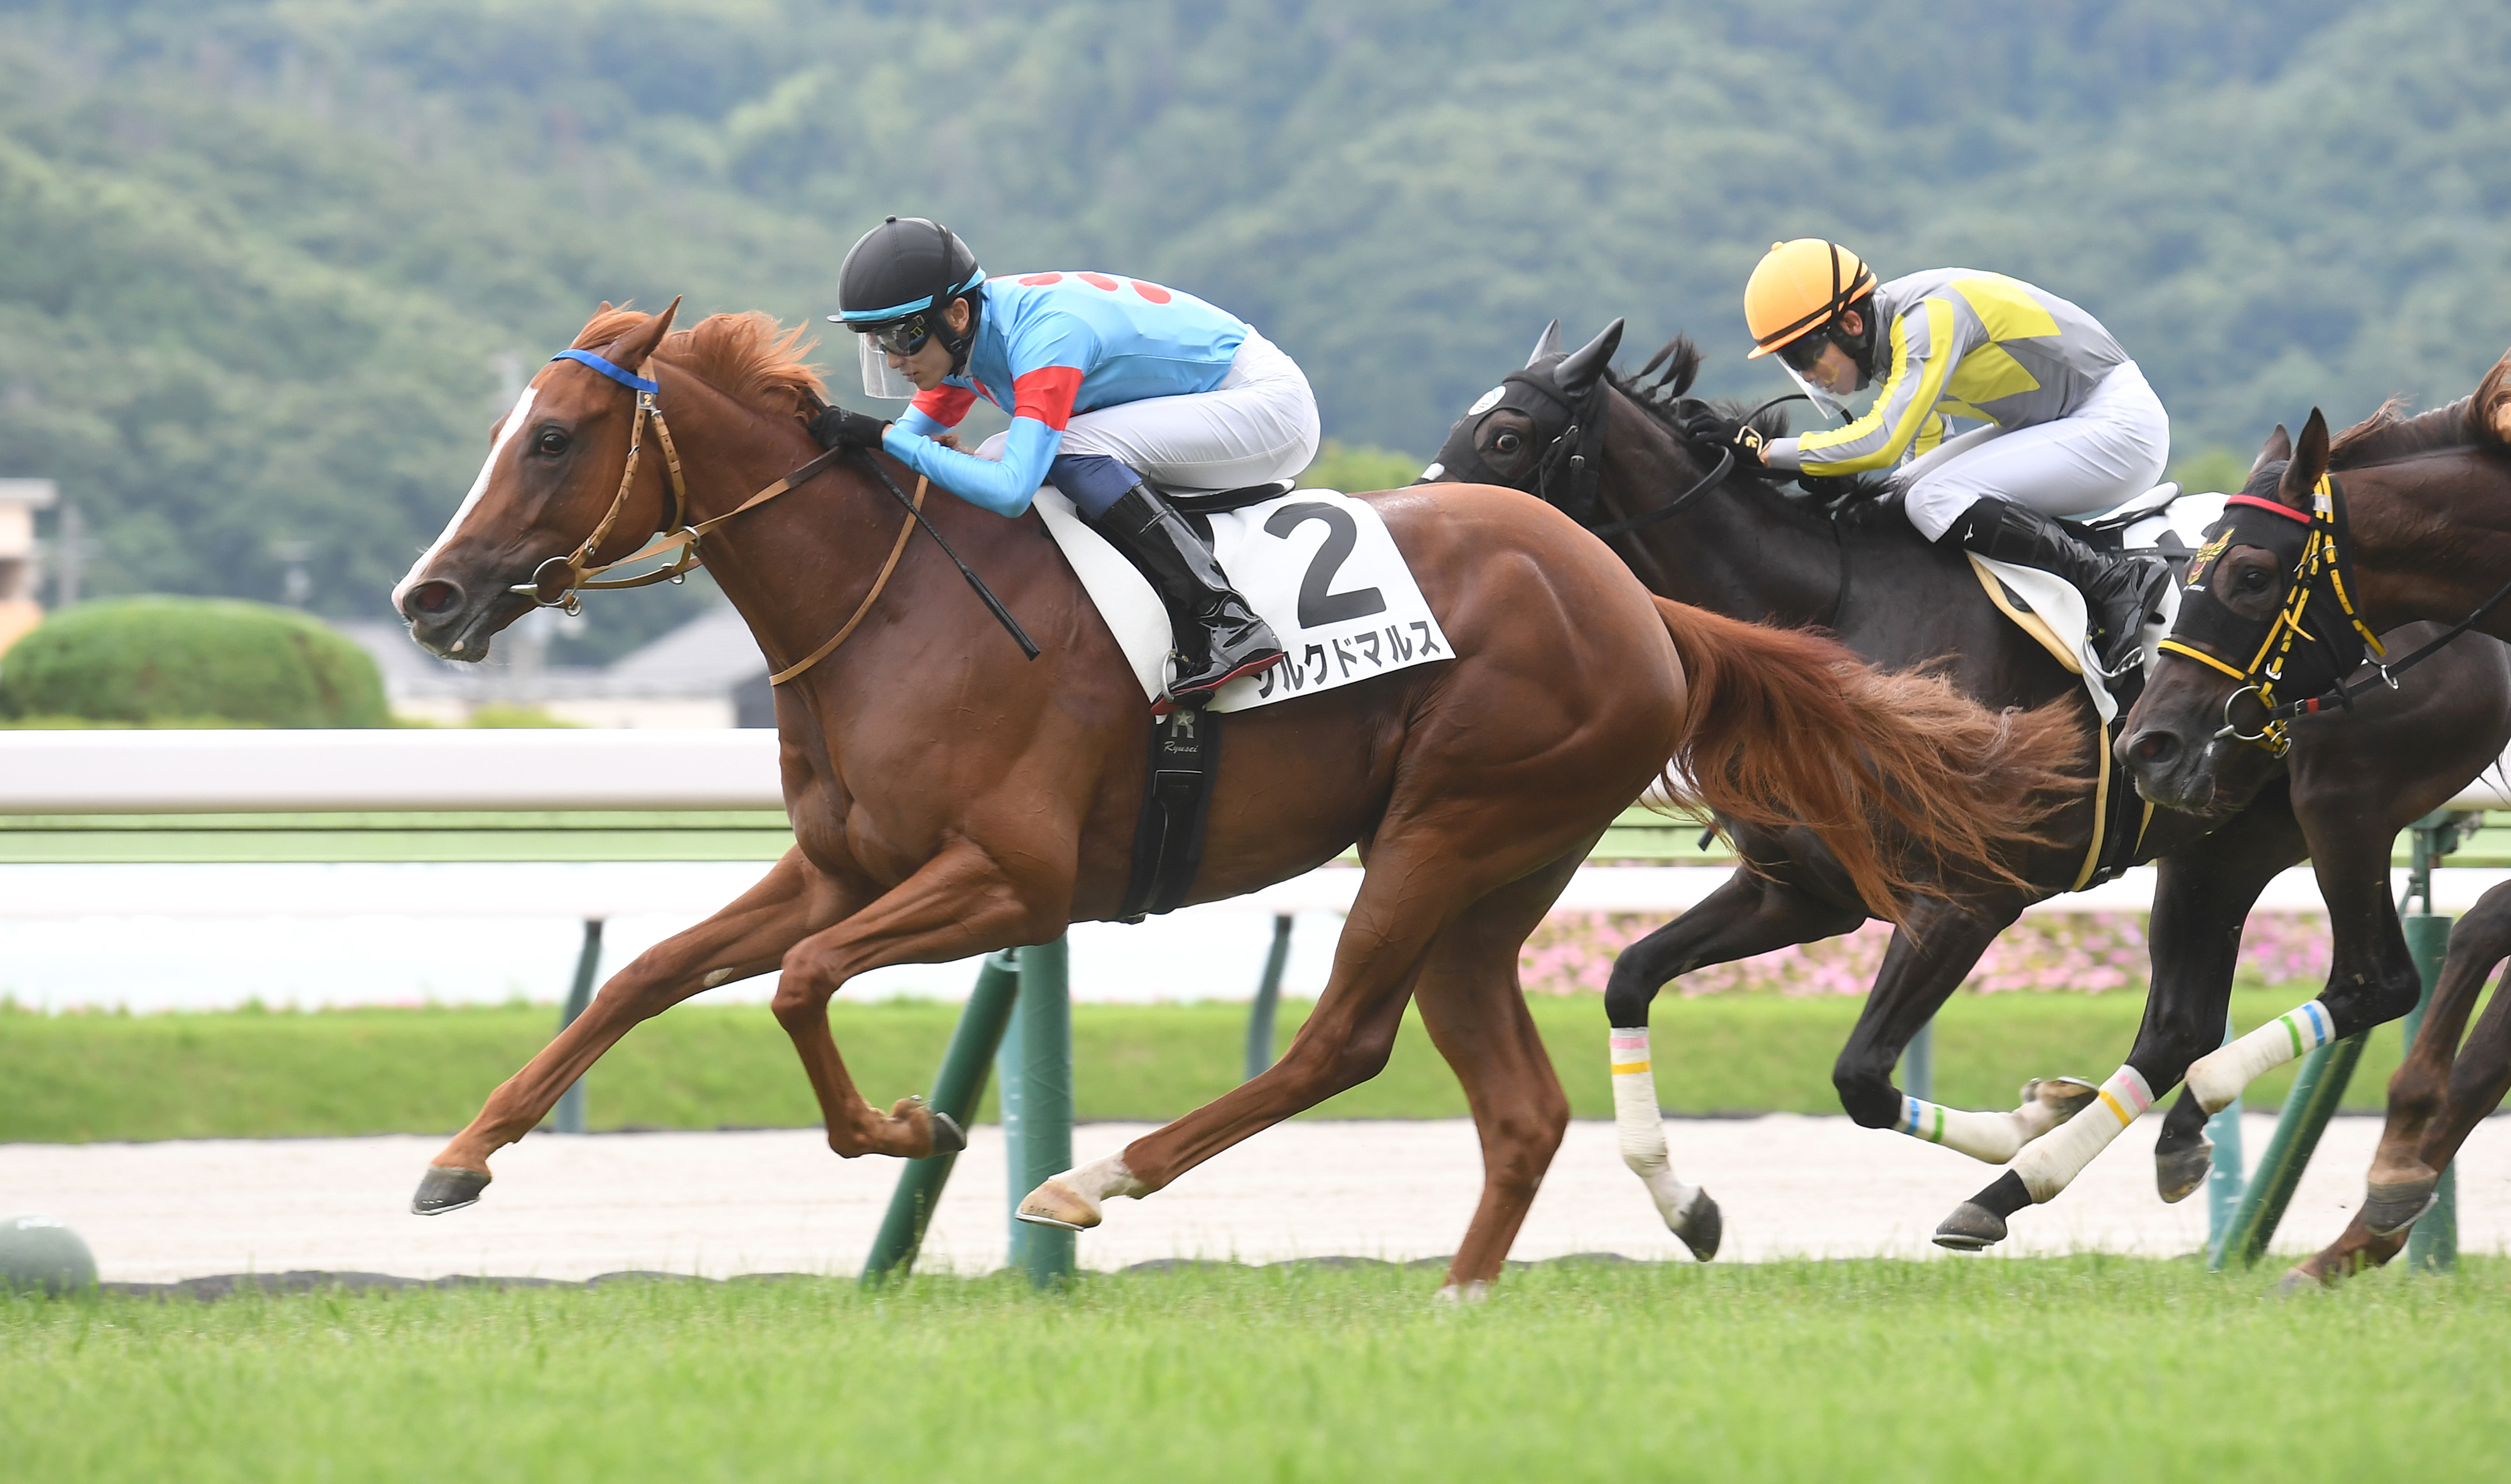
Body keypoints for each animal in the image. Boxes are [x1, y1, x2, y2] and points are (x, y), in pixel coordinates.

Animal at [389, 301, 2081, 1295]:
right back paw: (1464, 1292)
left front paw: (903, 1123)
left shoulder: (1010, 877)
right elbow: (653, 972)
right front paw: (460, 1156)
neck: (892, 606)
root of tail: (1632, 593)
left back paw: (1092, 1178)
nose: (429, 598)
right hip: (1499, 873)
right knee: (1516, 1103)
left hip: (1450, 825)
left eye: (553, 437)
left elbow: (799, 981)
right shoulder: (840, 865)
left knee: (1342, 1037)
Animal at [1423, 320, 2511, 1252]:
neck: (1832, 613)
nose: (1429, 528)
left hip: (2341, 806)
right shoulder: (1800, 890)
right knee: (2178, 1027)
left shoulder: (1966, 898)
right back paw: (2136, 1146)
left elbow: (1861, 1078)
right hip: (2220, 836)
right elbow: (1628, 979)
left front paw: (2027, 1116)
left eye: (1507, 435)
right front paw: (1686, 1205)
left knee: (2376, 980)